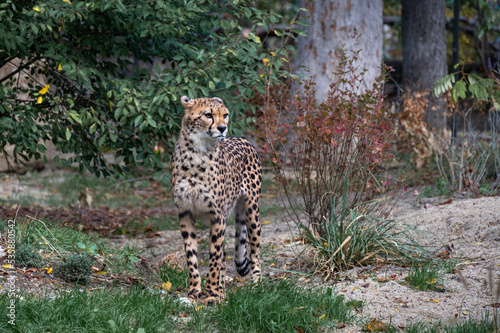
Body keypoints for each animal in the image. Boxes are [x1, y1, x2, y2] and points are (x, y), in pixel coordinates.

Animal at [172, 94, 264, 302]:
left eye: (225, 115)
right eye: (208, 115)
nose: (222, 128)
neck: (197, 153)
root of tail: (242, 139)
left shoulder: (217, 215)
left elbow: (213, 258)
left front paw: (213, 295)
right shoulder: (185, 213)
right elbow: (192, 256)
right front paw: (195, 292)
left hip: (252, 211)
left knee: (254, 252)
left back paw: (256, 286)